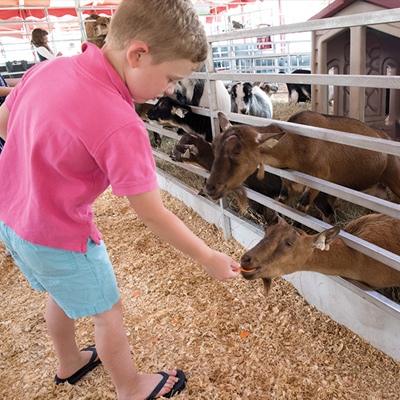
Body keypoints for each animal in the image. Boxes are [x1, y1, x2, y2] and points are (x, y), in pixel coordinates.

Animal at [206, 111, 400, 222]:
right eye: (214, 145)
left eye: (237, 151)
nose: (210, 187)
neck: (298, 146)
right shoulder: (286, 185)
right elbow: (280, 209)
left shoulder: (315, 185)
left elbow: (301, 213)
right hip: (378, 189)